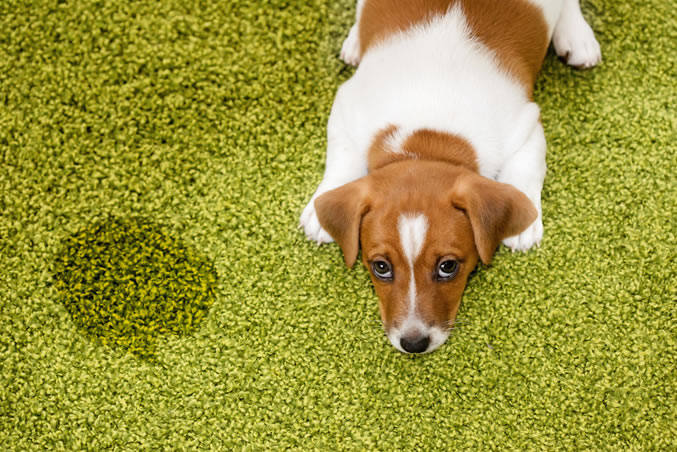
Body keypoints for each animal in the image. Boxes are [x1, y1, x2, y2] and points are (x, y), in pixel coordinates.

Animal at [298, 0, 600, 354]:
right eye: (380, 267)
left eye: (448, 267)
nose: (413, 343)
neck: (427, 138)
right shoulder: (346, 107)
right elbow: (341, 157)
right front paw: (320, 210)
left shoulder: (526, 126)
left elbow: (526, 171)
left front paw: (524, 222)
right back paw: (354, 41)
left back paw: (577, 35)